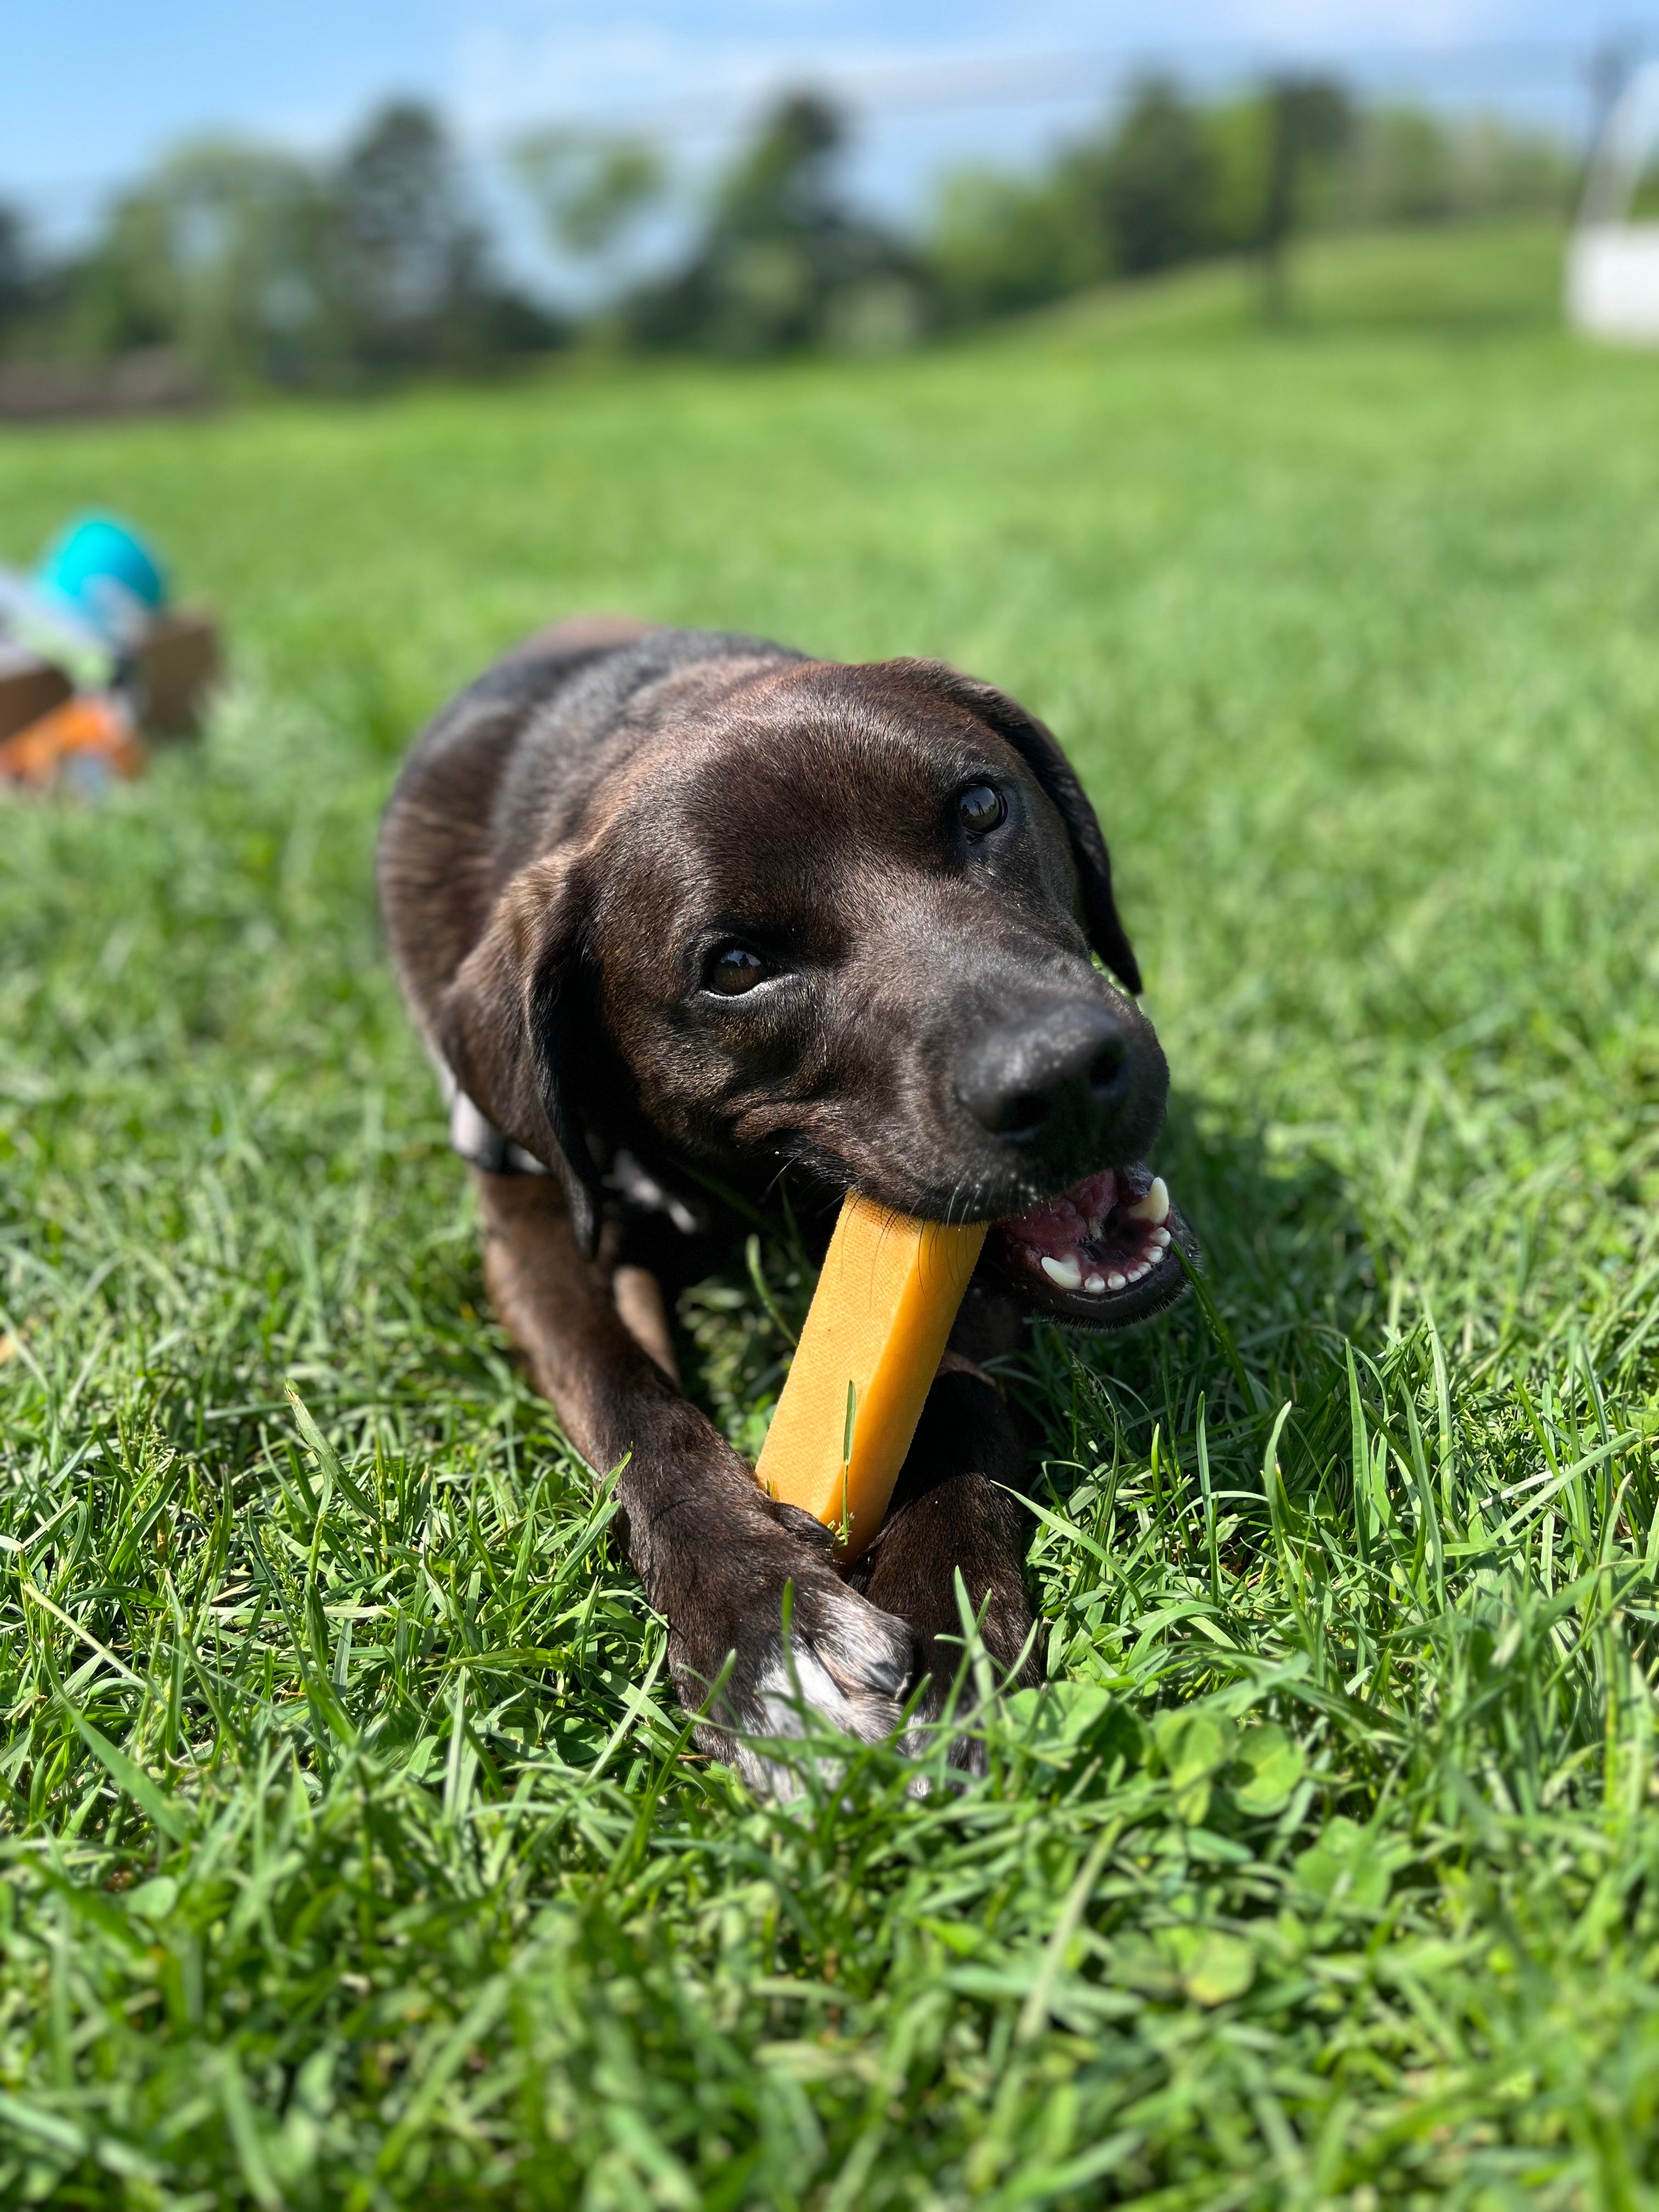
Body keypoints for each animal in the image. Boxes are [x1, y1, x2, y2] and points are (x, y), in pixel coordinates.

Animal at [380, 614, 1194, 1787]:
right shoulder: (535, 1219)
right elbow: (630, 1401)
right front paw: (759, 1630)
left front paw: (949, 1638)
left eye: (980, 807)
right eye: (732, 965)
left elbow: (953, 1403)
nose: (1062, 1073)